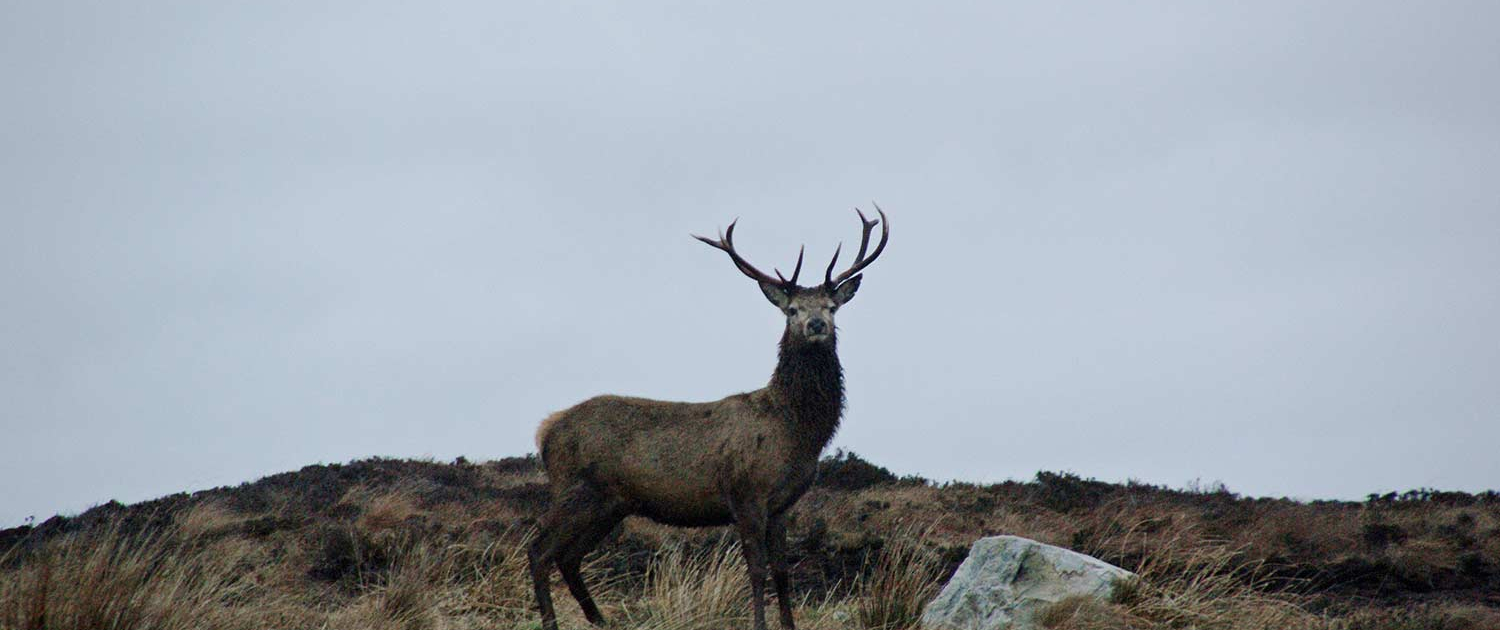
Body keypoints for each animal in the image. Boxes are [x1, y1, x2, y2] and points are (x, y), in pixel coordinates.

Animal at [526, 207, 890, 630]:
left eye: (831, 307)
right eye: (792, 310)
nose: (816, 325)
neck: (796, 431)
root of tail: (545, 431)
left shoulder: (782, 505)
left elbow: (783, 572)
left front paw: (788, 624)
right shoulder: (746, 493)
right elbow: (757, 571)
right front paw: (759, 624)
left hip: (609, 504)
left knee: (568, 557)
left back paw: (601, 620)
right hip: (575, 489)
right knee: (539, 549)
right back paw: (552, 621)